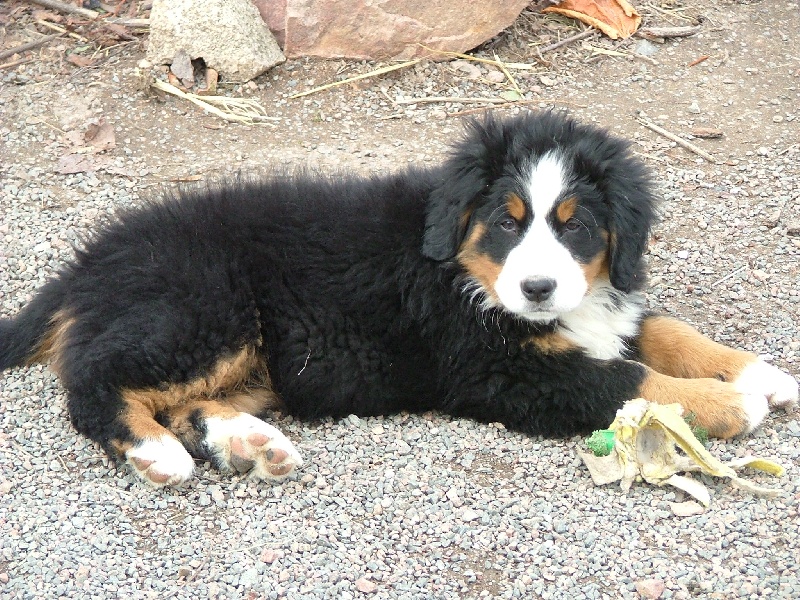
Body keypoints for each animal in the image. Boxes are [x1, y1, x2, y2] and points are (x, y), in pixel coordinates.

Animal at [1, 111, 796, 487]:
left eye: (577, 226)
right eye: (506, 221)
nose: (538, 288)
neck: (467, 277)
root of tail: (91, 261)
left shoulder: (602, 302)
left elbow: (665, 333)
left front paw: (765, 374)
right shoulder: (500, 371)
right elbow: (629, 380)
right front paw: (730, 405)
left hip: (250, 354)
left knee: (185, 399)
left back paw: (250, 444)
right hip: (204, 311)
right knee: (94, 382)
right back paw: (159, 454)